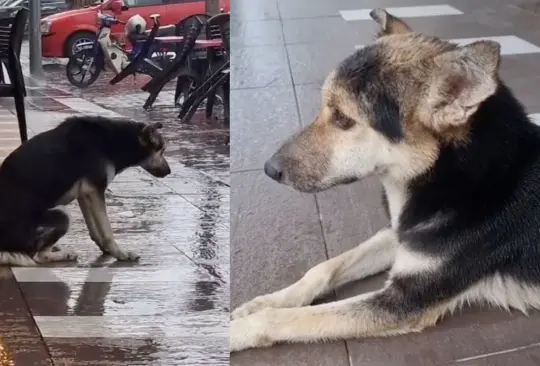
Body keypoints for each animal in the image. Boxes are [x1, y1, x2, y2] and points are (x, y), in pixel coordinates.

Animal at [0, 116, 170, 266]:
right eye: (162, 150)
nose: (169, 172)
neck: (117, 140)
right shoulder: (96, 190)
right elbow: (107, 230)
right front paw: (120, 253)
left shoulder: (85, 193)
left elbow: (94, 228)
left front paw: (106, 249)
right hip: (62, 213)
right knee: (39, 256)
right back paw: (65, 254)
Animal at [230, 8, 540, 352]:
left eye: (343, 119)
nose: (270, 169)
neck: (459, 178)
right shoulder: (402, 232)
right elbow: (324, 268)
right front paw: (267, 301)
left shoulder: (404, 300)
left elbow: (285, 320)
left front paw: (233, 331)